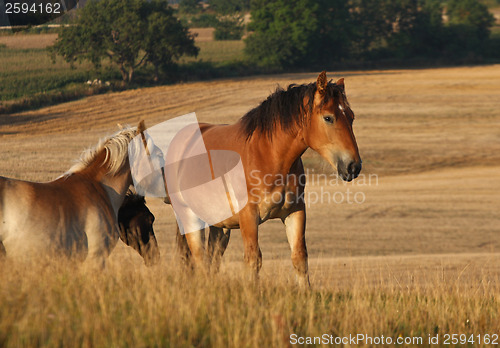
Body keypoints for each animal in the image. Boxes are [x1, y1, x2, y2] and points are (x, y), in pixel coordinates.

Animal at [174, 71, 362, 286]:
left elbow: (300, 258)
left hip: (219, 225)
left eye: (351, 117)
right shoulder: (248, 217)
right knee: (200, 259)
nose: (353, 166)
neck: (269, 156)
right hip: (189, 217)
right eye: (328, 118)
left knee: (212, 259)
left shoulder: (295, 212)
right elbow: (253, 259)